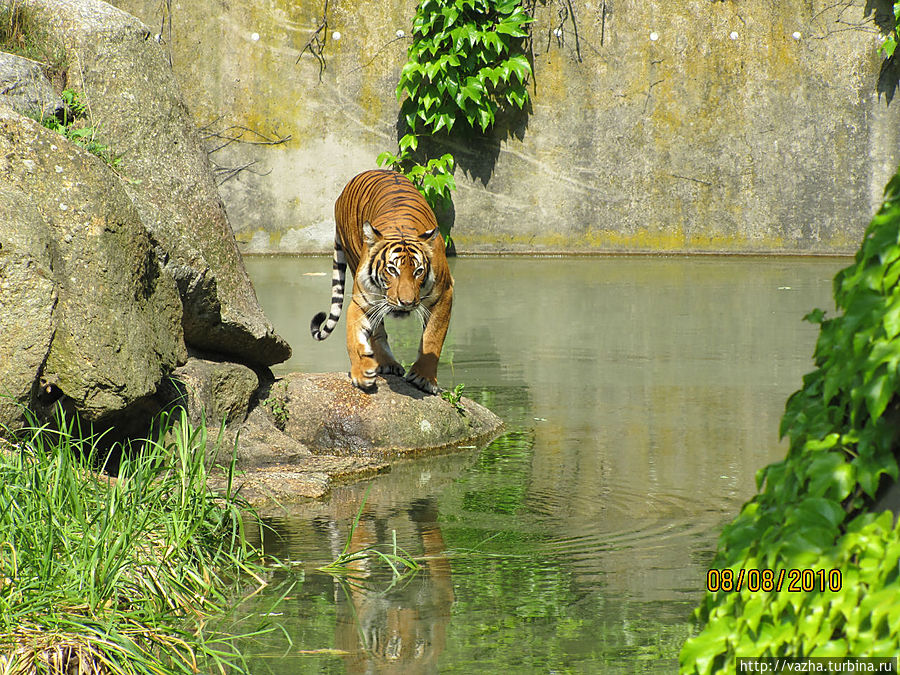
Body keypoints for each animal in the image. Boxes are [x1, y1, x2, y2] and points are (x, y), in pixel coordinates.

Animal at [310, 169, 454, 398]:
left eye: (418, 271)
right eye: (392, 270)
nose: (406, 303)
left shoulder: (444, 294)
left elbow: (433, 337)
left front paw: (423, 378)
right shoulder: (361, 301)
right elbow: (353, 338)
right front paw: (362, 373)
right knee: (377, 330)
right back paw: (386, 363)